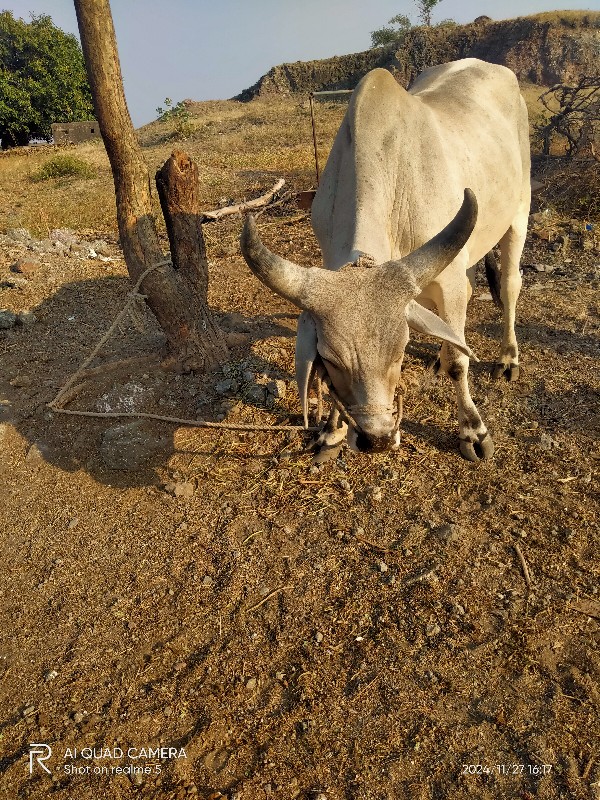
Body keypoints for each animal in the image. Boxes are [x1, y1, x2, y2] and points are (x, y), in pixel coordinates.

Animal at [239, 57, 528, 462]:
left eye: (400, 352)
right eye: (330, 359)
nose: (376, 439)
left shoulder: (450, 281)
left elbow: (460, 362)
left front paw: (473, 431)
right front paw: (331, 432)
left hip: (519, 211)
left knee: (510, 284)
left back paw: (507, 358)